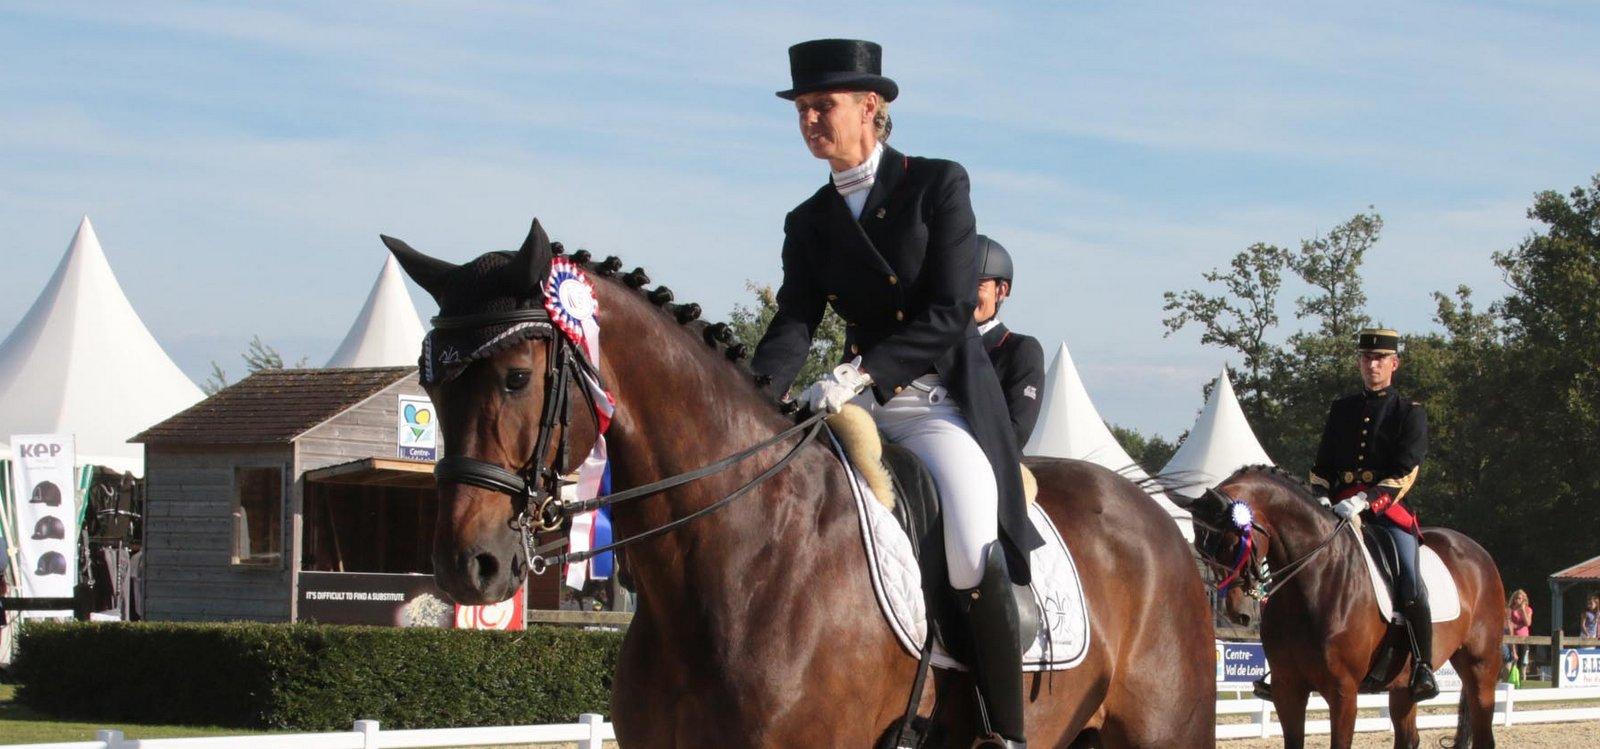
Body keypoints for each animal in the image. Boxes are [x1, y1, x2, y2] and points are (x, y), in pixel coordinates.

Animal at [1196, 464, 1504, 745]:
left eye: (1232, 543)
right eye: (1203, 550)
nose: (1239, 612)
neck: (1316, 580)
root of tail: (1478, 551)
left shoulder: (1342, 692)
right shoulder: (1287, 689)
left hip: (1481, 667)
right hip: (1403, 685)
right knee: (1408, 737)